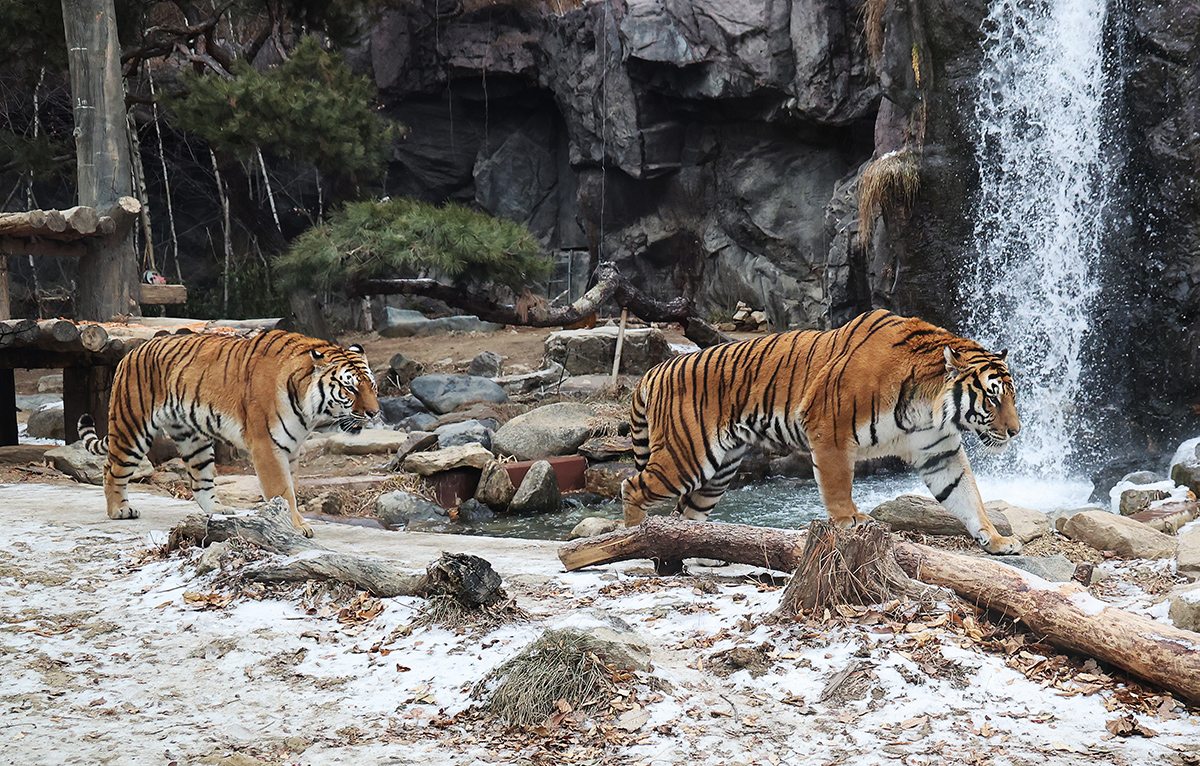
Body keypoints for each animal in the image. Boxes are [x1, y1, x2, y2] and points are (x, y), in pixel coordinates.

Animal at [77, 329, 380, 538]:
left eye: (373, 387)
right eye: (350, 388)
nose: (375, 413)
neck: (309, 409)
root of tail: (131, 351)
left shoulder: (291, 448)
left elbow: (292, 488)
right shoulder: (267, 446)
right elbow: (283, 491)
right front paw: (296, 526)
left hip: (193, 439)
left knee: (199, 482)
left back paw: (218, 511)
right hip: (132, 428)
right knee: (111, 469)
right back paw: (119, 510)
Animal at [622, 309, 1023, 555]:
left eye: (1012, 396)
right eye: (992, 397)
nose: (1016, 431)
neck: (929, 408)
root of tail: (655, 370)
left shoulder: (939, 452)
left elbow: (968, 497)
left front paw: (997, 540)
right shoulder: (829, 429)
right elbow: (838, 483)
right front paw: (851, 520)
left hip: (717, 473)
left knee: (684, 515)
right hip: (687, 456)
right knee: (632, 487)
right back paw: (633, 541)